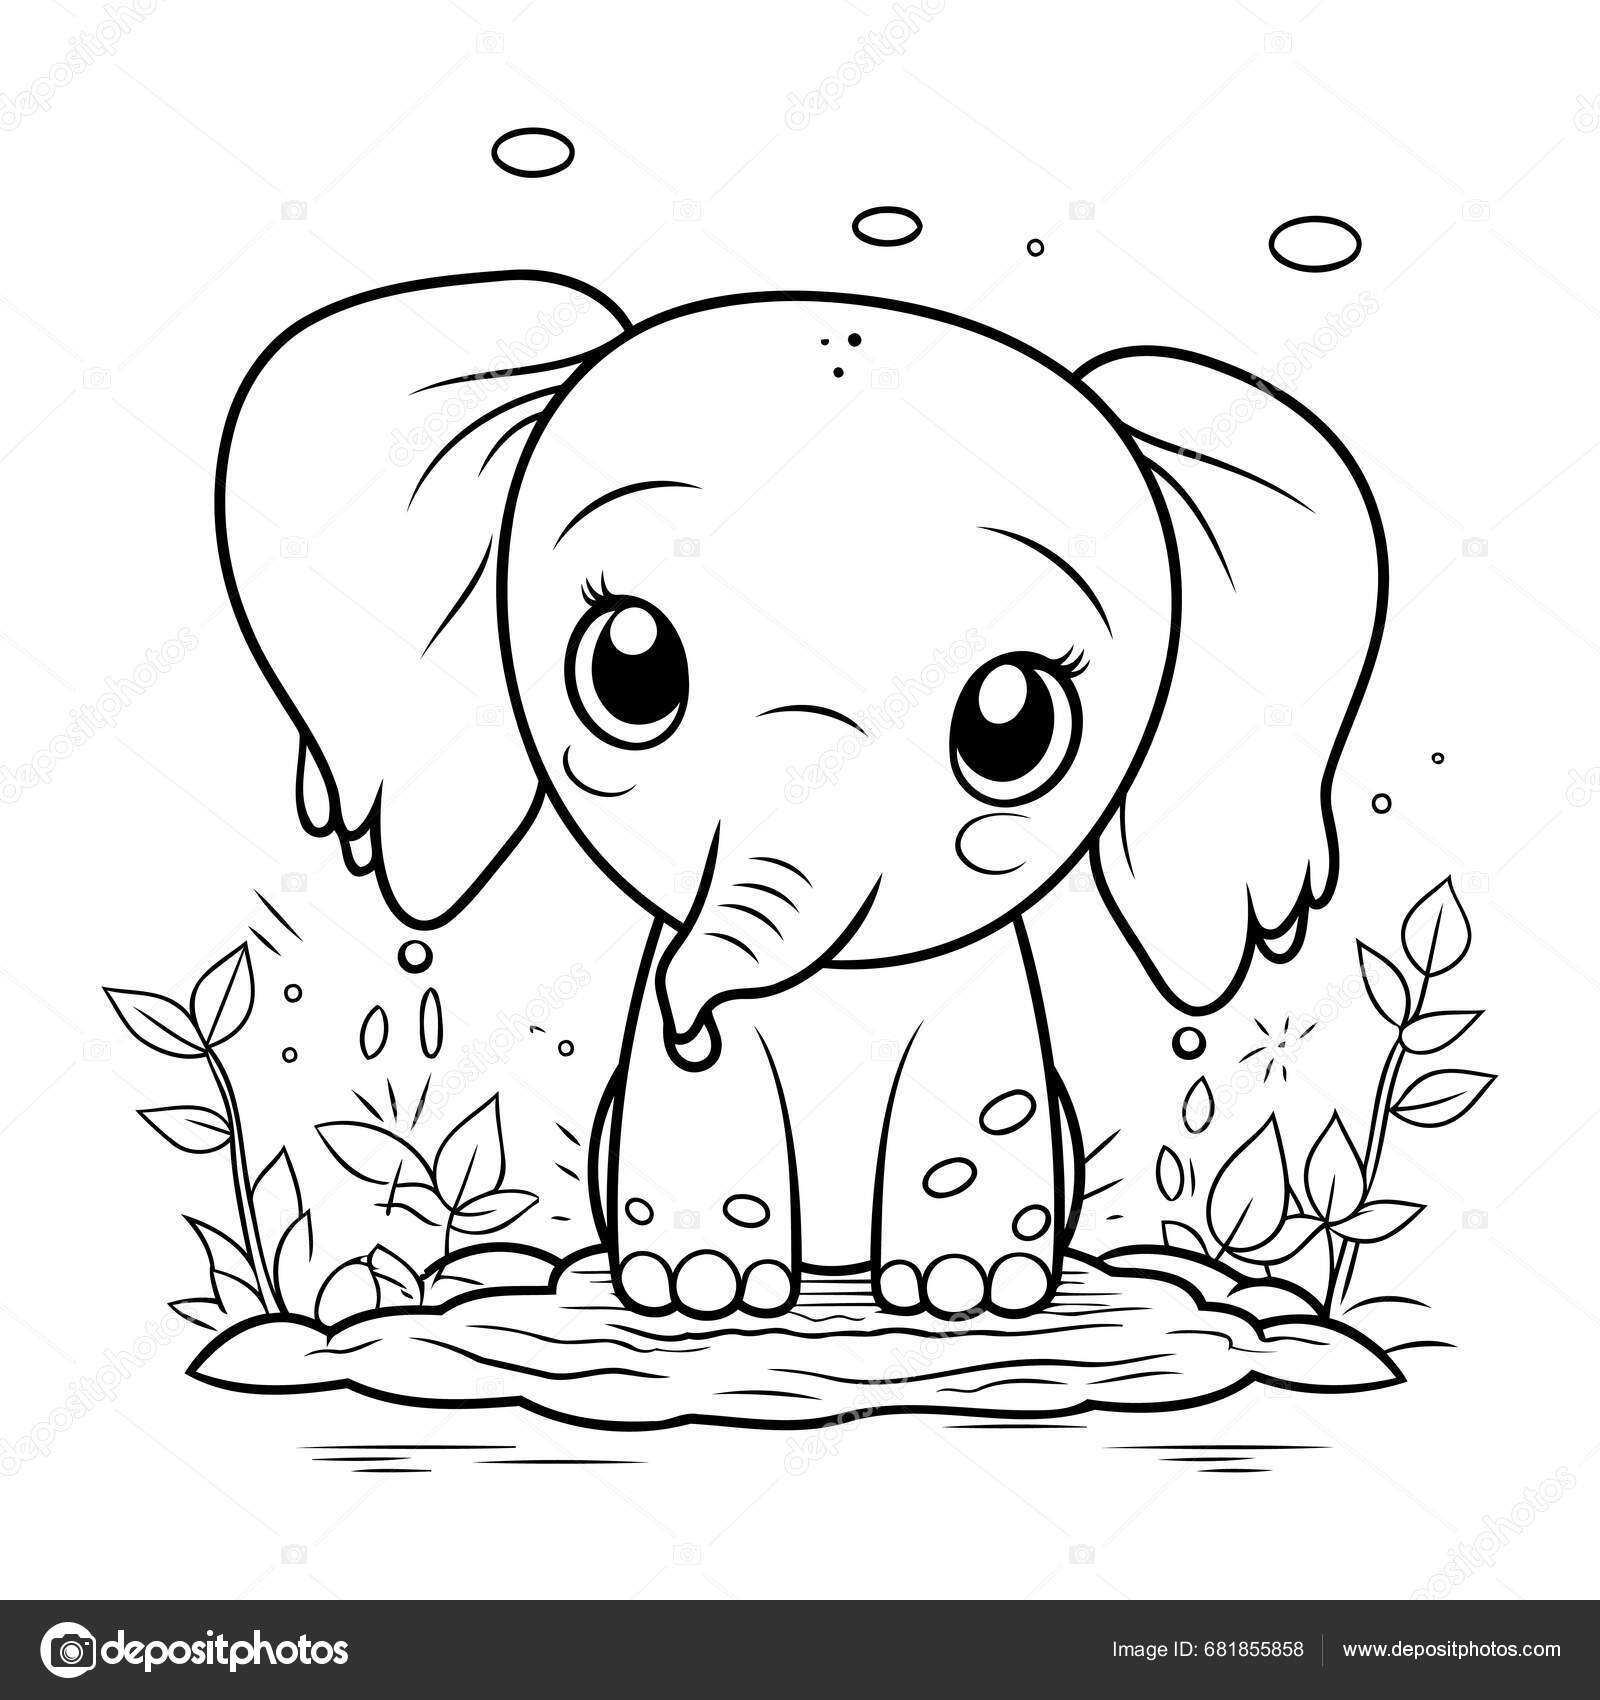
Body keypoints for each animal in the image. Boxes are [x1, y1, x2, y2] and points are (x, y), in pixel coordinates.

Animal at [218, 272, 1386, 1321]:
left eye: (1013, 726)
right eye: (628, 667)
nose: (695, 1024)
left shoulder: (985, 1003)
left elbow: (977, 1107)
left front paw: (967, 1293)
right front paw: (701, 1293)